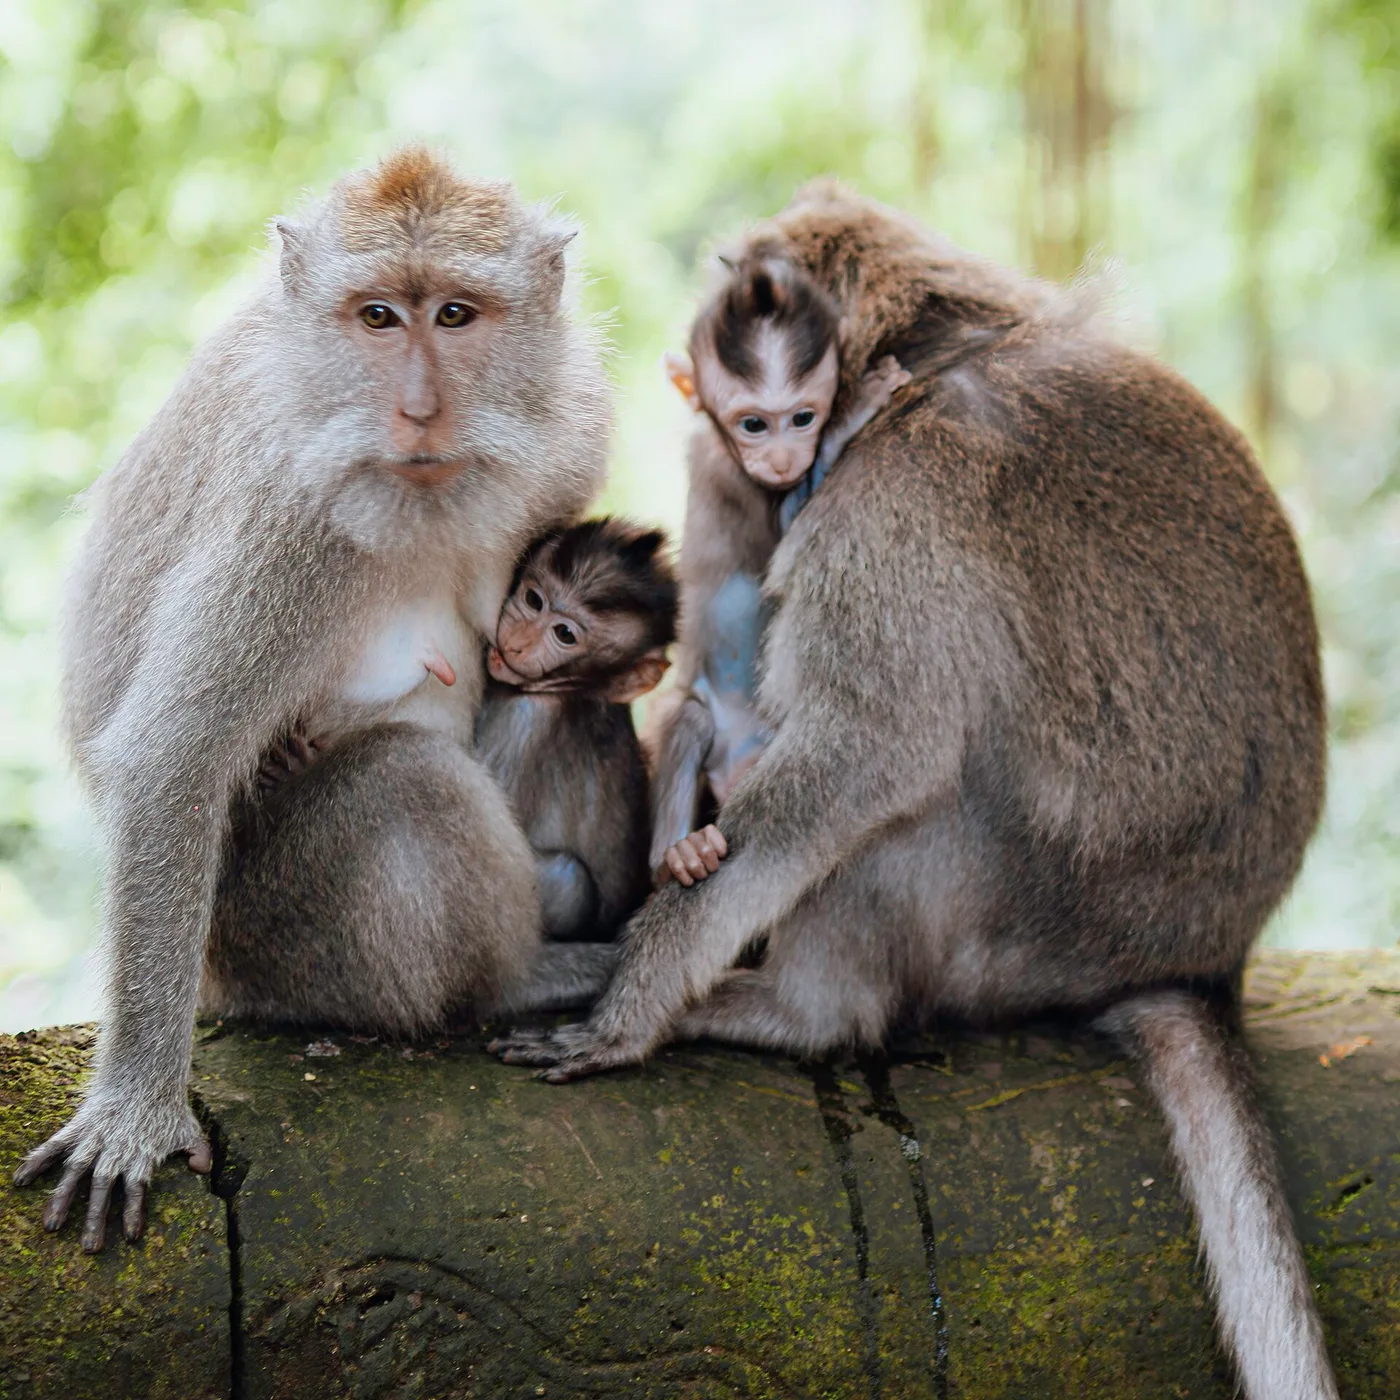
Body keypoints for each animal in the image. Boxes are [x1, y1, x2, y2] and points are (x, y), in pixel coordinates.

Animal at [14, 148, 620, 1254]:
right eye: (376, 316)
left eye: (454, 314)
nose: (418, 410)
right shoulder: (287, 517)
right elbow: (175, 757)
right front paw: (136, 1110)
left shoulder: (571, 430)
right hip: (277, 931)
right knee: (408, 778)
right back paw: (513, 982)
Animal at [475, 517, 679, 939]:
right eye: (534, 600)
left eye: (565, 635)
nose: (518, 643)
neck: (574, 691)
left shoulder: (526, 718)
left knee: (568, 879)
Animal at [650, 250, 910, 888]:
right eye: (753, 425)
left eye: (802, 417)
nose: (785, 457)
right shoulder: (738, 479)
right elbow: (789, 529)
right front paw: (861, 408)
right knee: (687, 719)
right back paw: (676, 855)